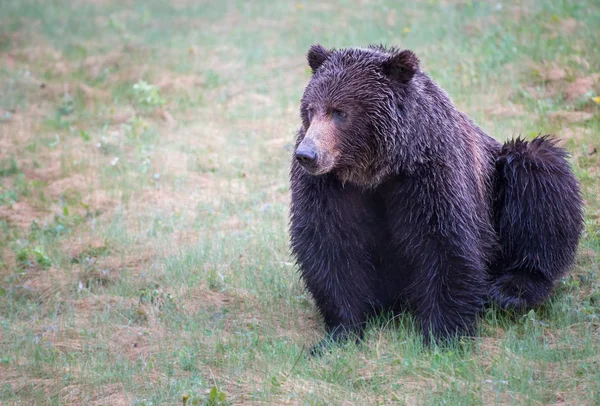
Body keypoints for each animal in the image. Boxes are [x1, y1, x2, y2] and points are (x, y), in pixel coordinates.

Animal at [288, 42, 584, 352]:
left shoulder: (432, 174)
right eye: (311, 109)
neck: (377, 170)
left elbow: (444, 243)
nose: (307, 155)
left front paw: (442, 335)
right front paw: (339, 334)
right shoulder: (330, 188)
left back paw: (512, 289)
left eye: (340, 112)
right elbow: (330, 245)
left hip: (502, 181)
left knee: (538, 176)